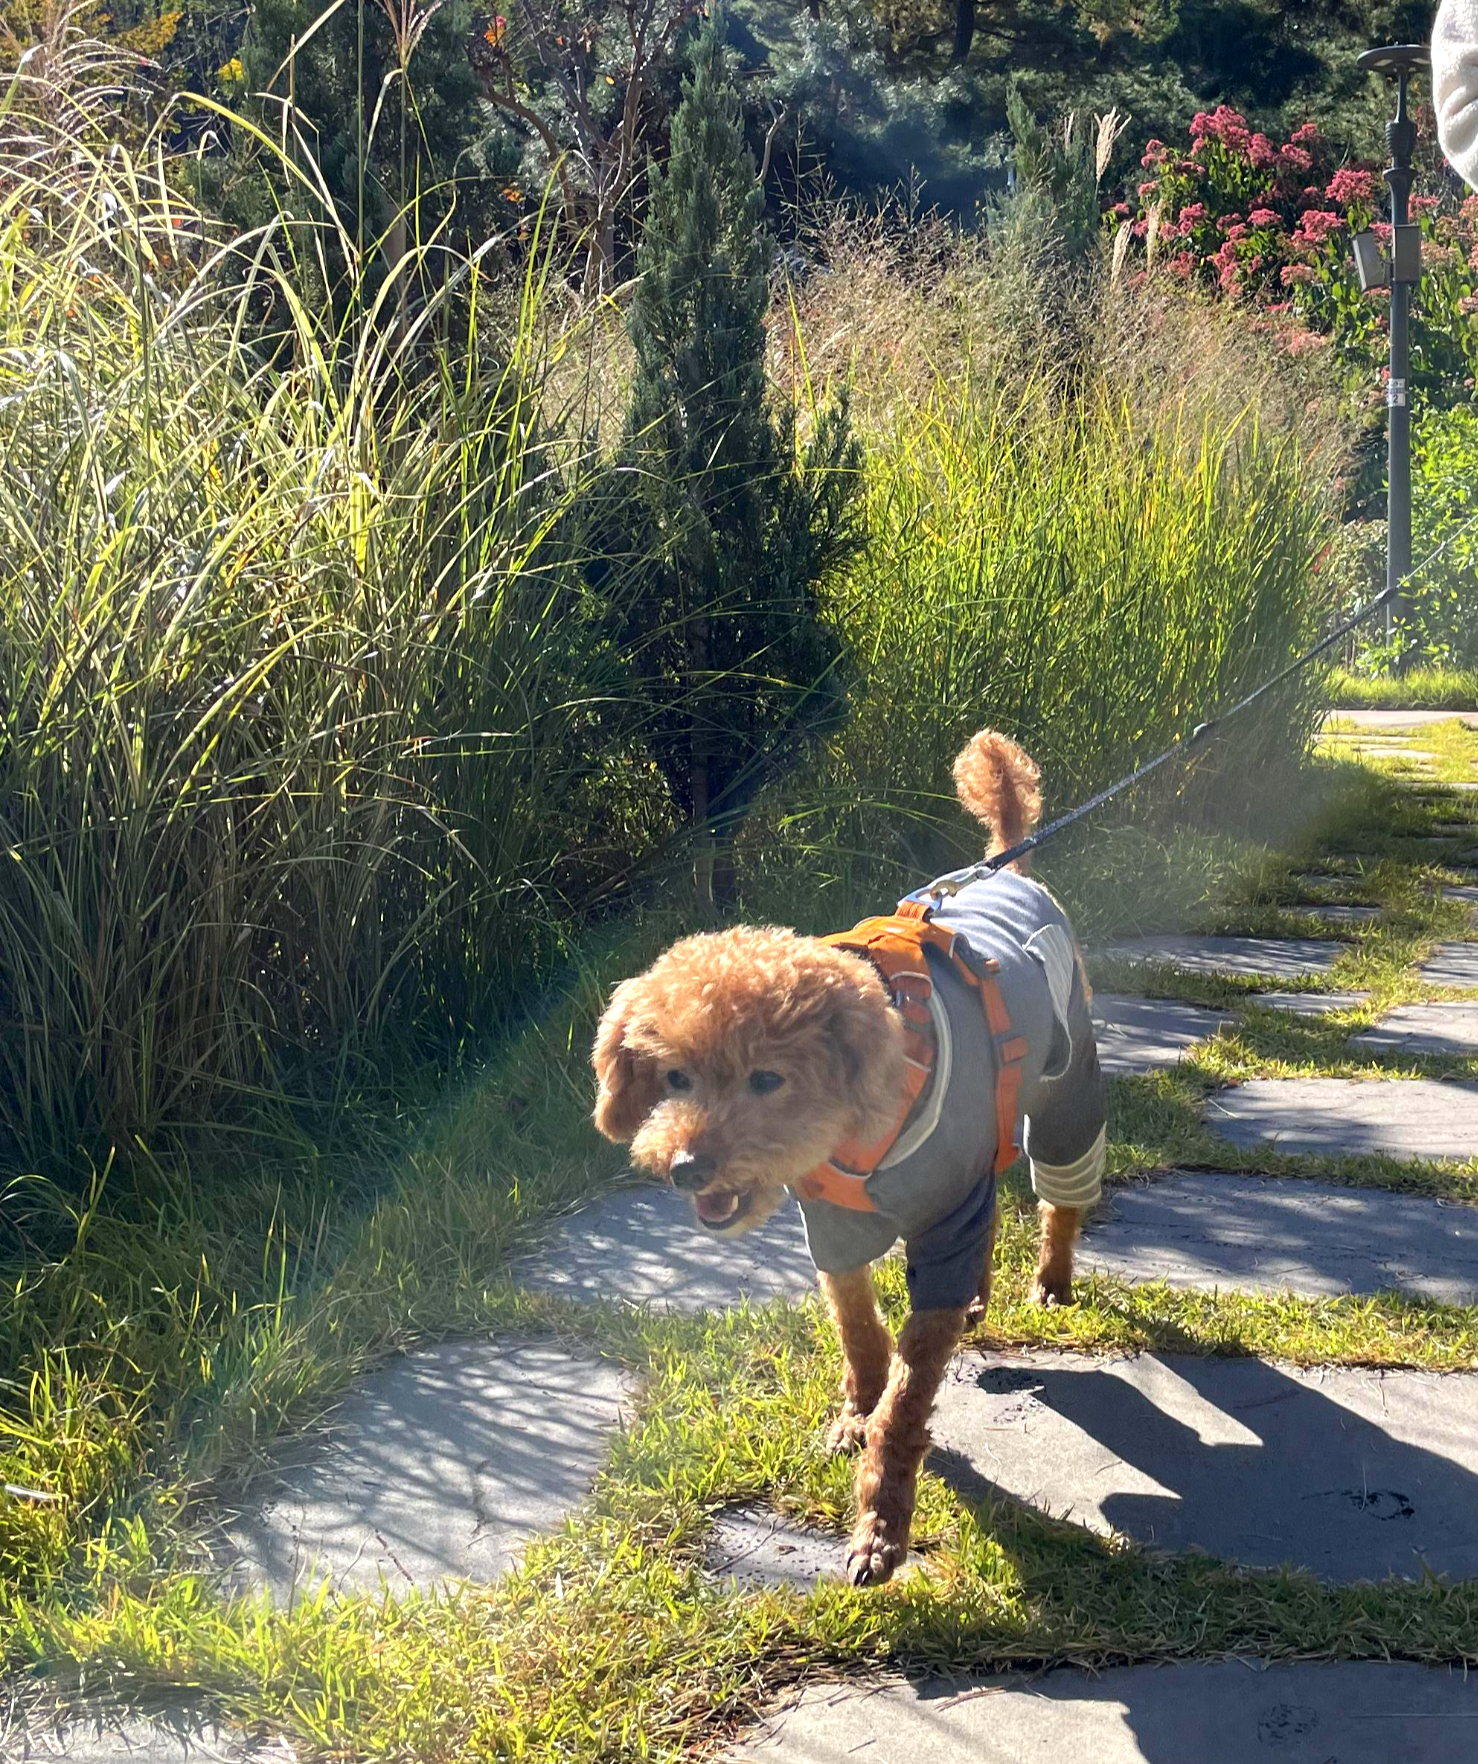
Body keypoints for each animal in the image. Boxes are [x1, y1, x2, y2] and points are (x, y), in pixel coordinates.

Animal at [596, 730, 1107, 1587]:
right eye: (675, 1076)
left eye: (768, 1079)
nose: (686, 1166)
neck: (856, 1132)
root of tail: (1011, 870)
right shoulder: (833, 1227)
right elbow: (861, 1334)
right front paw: (853, 1417)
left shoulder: (942, 1218)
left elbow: (908, 1393)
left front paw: (881, 1521)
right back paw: (980, 1296)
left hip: (1068, 1093)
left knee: (1055, 1191)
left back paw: (1052, 1277)